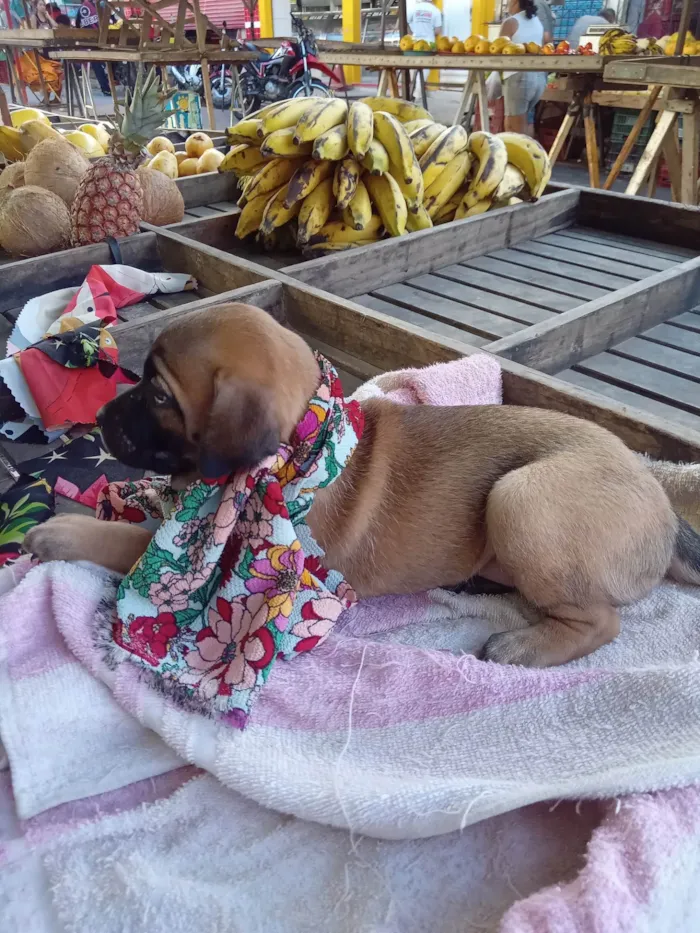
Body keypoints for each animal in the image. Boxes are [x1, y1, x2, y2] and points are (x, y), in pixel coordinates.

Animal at [26, 302, 700, 668]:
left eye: (161, 396)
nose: (101, 419)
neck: (298, 448)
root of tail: (665, 508)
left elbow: (130, 543)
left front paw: (61, 531)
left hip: (522, 499)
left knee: (603, 623)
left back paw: (522, 648)